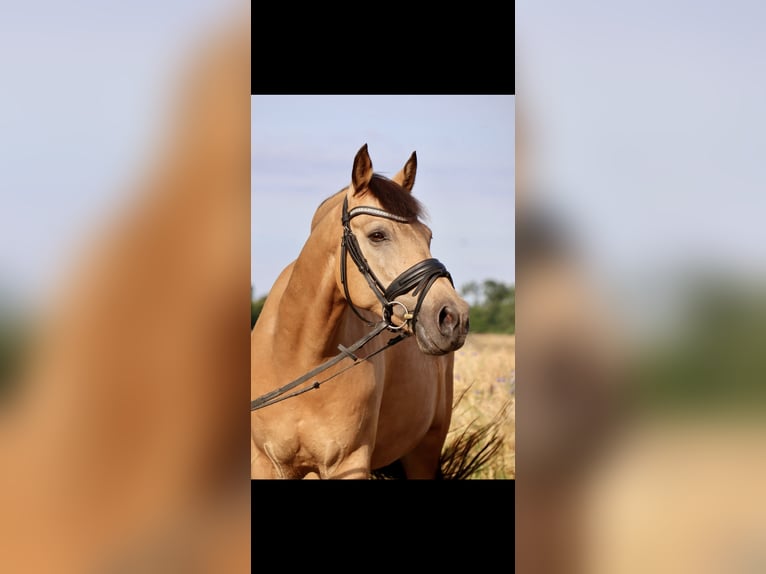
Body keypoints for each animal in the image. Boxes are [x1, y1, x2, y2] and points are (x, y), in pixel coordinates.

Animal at [251, 144, 470, 479]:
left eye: (428, 236)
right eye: (378, 235)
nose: (453, 318)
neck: (297, 357)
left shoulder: (349, 463)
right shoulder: (266, 464)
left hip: (424, 452)